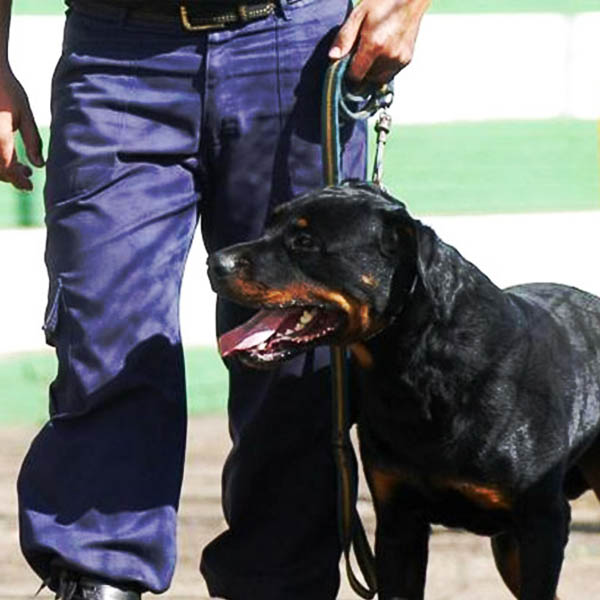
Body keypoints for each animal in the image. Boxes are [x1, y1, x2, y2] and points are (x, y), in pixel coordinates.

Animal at [209, 182, 600, 600]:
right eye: (270, 224)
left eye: (304, 241)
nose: (214, 262)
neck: (416, 370)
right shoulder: (398, 522)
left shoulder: (541, 521)